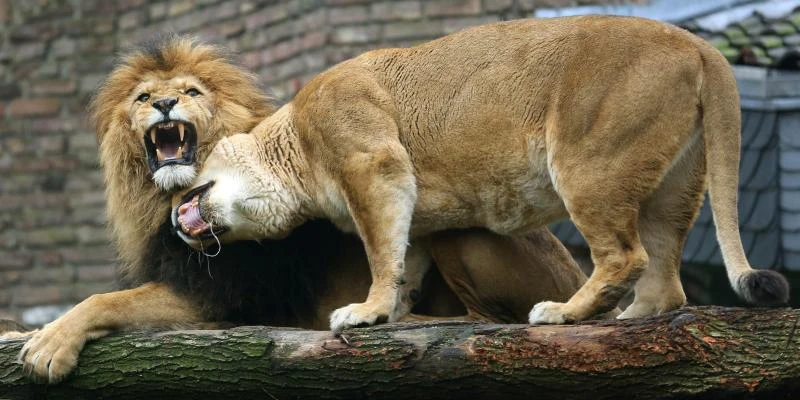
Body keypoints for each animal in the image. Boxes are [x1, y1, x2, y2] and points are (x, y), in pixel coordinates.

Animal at [13, 34, 591, 384]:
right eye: (142, 97)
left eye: (191, 91)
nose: (164, 104)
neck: (162, 198)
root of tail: (573, 276)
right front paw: (27, 332)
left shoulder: (216, 299)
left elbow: (102, 300)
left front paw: (48, 346)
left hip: (454, 226)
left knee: (486, 321)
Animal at [172, 16, 790, 333]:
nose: (176, 217)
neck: (293, 150)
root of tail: (699, 45)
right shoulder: (411, 210)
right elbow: (402, 260)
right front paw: (390, 312)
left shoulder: (374, 164)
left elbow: (380, 253)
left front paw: (364, 311)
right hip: (675, 180)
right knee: (667, 278)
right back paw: (631, 315)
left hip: (589, 160)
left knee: (625, 254)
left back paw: (564, 313)